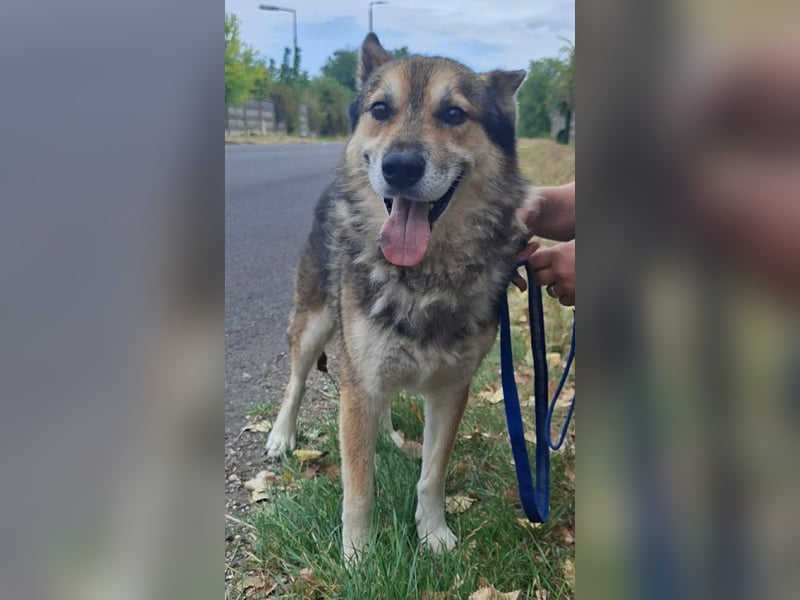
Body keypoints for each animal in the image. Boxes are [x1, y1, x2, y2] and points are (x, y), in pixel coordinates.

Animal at [265, 33, 528, 559]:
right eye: (381, 109)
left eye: (454, 114)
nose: (400, 167)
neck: (422, 277)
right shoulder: (357, 385)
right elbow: (358, 484)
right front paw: (358, 555)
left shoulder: (451, 390)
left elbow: (432, 475)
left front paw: (433, 533)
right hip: (314, 326)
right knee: (296, 383)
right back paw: (282, 436)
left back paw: (386, 435)